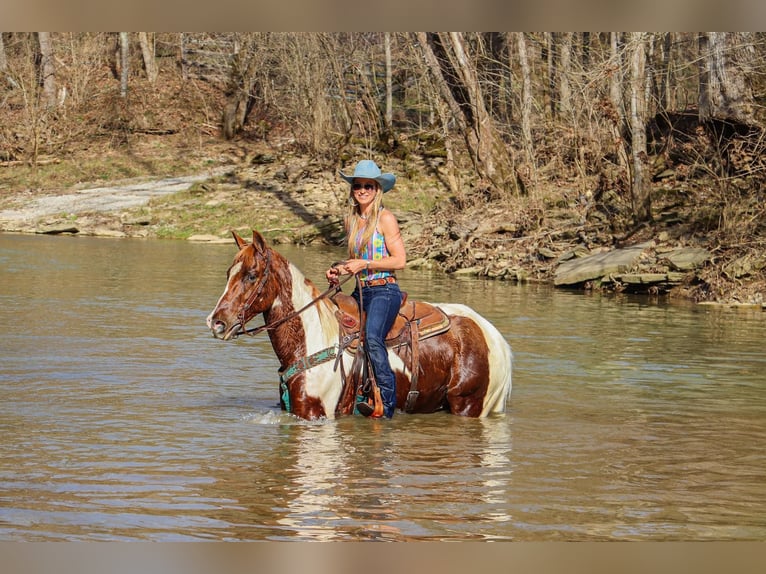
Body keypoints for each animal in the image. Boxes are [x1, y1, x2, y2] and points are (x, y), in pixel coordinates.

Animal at [207, 231, 512, 424]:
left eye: (251, 275)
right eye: (228, 274)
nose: (216, 322)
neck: (313, 339)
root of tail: (491, 333)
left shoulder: (317, 415)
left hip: (468, 404)